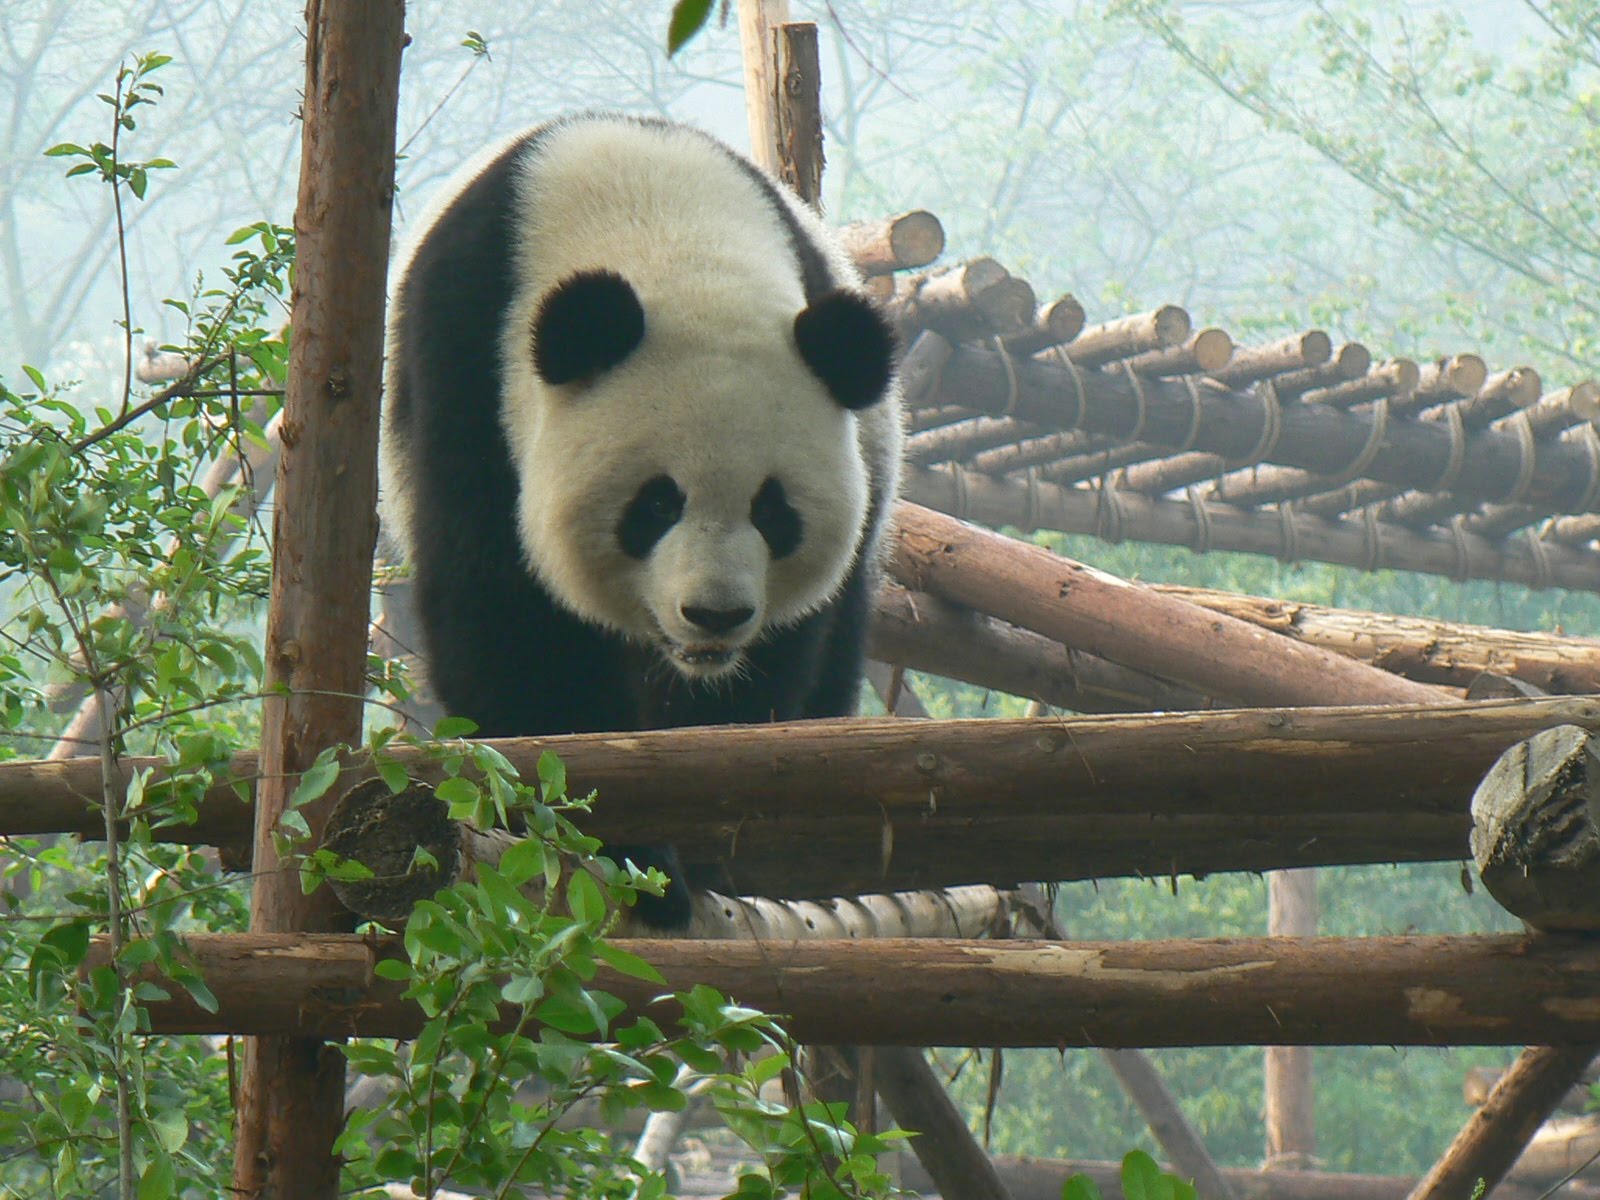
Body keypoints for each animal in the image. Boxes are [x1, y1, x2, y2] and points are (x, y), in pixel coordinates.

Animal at [380, 113, 904, 927]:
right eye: (656, 504)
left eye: (773, 510)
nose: (714, 616)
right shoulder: (469, 373)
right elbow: (511, 629)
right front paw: (621, 845)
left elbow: (759, 695)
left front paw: (704, 842)